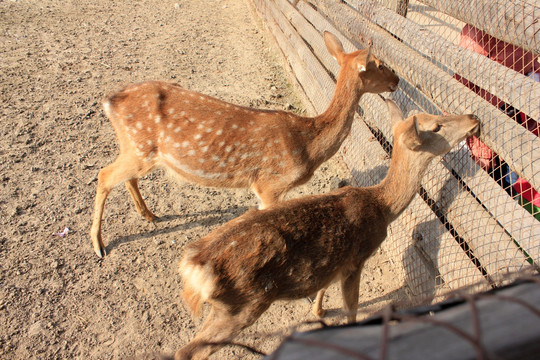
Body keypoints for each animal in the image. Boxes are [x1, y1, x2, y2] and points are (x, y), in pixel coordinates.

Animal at [90, 30, 398, 256]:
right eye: (380, 65)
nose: (396, 80)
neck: (308, 145)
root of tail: (109, 102)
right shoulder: (269, 184)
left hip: (138, 151)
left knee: (126, 178)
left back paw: (150, 215)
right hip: (138, 148)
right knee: (104, 174)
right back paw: (99, 246)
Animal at [175, 99, 478, 360]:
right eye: (436, 126)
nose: (474, 118)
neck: (382, 207)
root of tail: (193, 267)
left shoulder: (335, 262)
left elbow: (324, 286)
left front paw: (318, 311)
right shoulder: (357, 259)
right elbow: (351, 307)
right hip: (240, 306)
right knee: (188, 351)